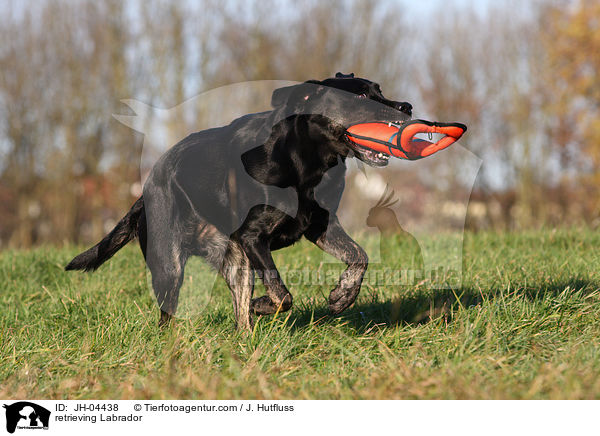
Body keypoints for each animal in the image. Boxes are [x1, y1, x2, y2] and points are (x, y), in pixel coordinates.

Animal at [67, 73, 412, 328]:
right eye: (362, 97)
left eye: (380, 90)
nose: (407, 106)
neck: (305, 160)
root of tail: (144, 192)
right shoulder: (253, 236)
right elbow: (281, 293)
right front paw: (264, 305)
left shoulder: (320, 225)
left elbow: (359, 256)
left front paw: (342, 296)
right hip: (169, 263)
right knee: (167, 315)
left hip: (234, 261)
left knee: (239, 312)